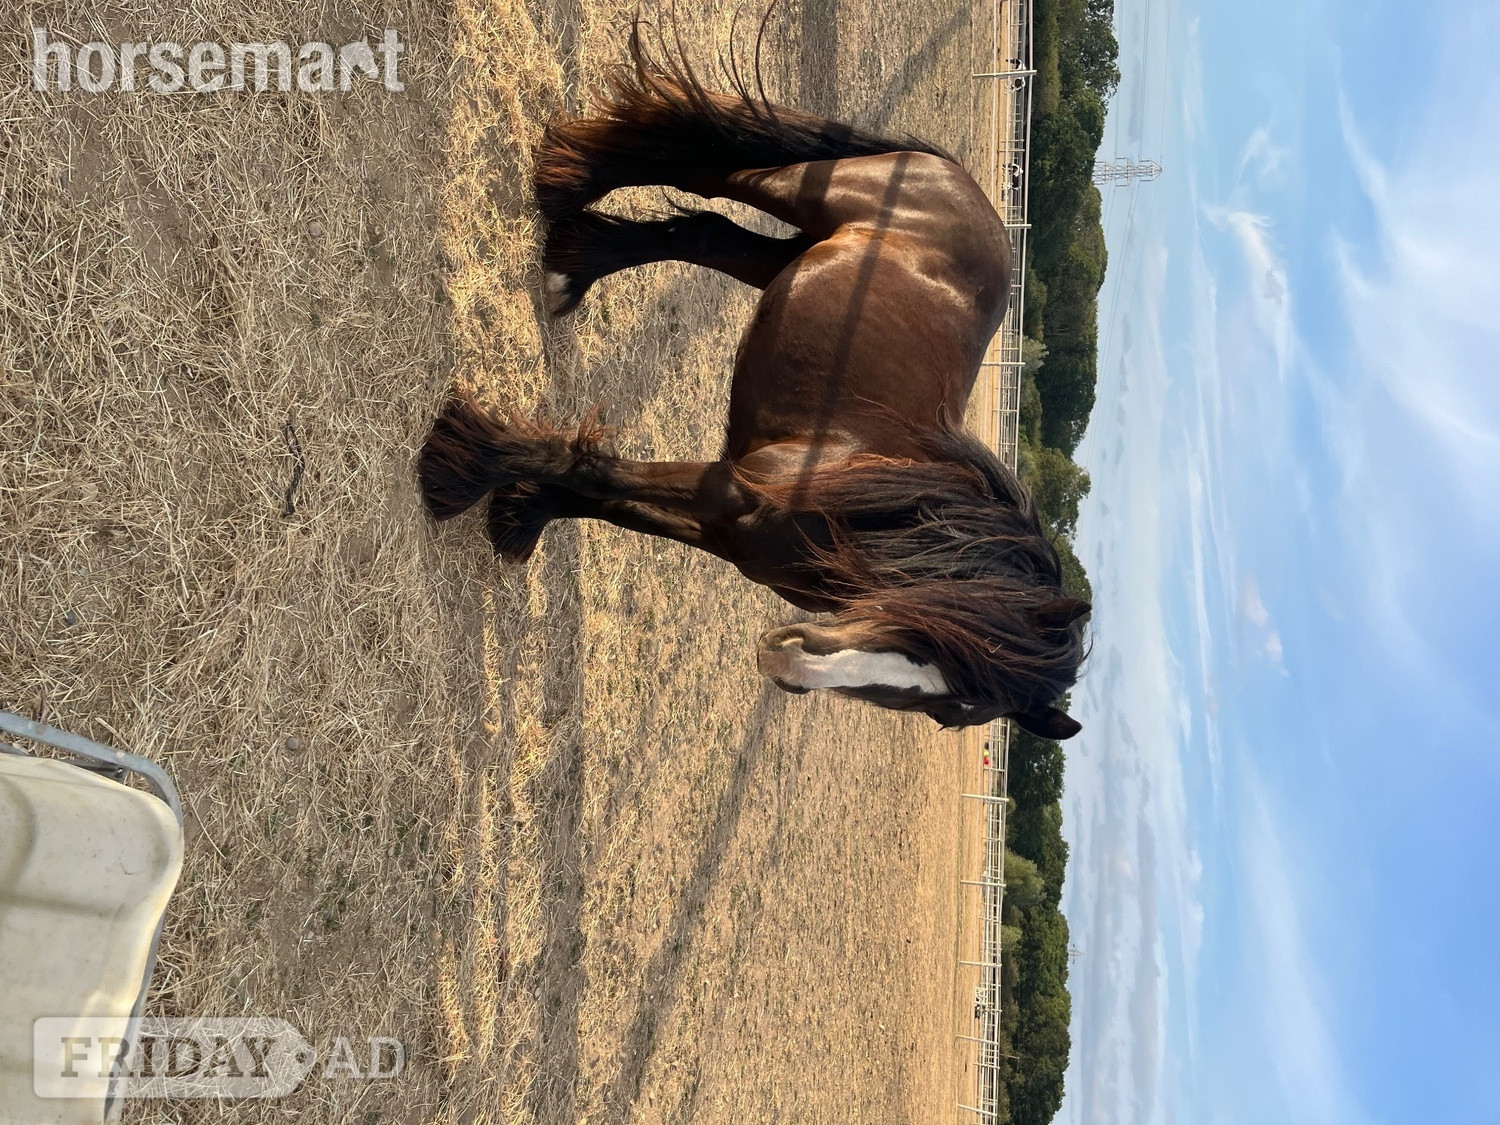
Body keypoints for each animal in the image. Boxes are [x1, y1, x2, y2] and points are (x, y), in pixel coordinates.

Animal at [419, 24, 1089, 737]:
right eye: (930, 638)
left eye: (946, 712)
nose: (789, 662)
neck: (863, 507)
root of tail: (963, 187)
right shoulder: (727, 490)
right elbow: (595, 473)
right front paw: (465, 469)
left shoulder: (724, 528)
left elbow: (609, 503)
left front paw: (523, 509)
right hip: (804, 194)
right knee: (709, 173)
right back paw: (569, 183)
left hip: (787, 257)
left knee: (705, 231)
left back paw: (575, 262)